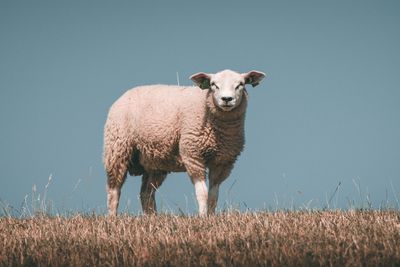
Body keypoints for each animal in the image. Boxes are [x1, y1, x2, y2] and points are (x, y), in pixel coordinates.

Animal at [103, 68, 266, 217]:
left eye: (240, 84)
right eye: (213, 85)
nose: (227, 99)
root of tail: (125, 94)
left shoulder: (222, 162)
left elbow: (213, 195)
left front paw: (212, 216)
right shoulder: (193, 154)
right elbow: (202, 192)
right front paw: (203, 217)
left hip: (155, 161)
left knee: (146, 193)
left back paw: (152, 217)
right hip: (117, 148)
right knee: (114, 190)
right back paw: (113, 218)